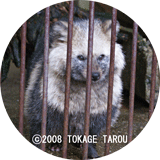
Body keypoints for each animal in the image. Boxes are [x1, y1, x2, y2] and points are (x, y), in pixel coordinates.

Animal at [24, 18, 125, 158]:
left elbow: (93, 131)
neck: (83, 85)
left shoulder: (103, 106)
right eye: (81, 57)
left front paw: (90, 149)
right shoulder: (45, 96)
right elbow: (38, 123)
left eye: (101, 56)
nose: (95, 76)